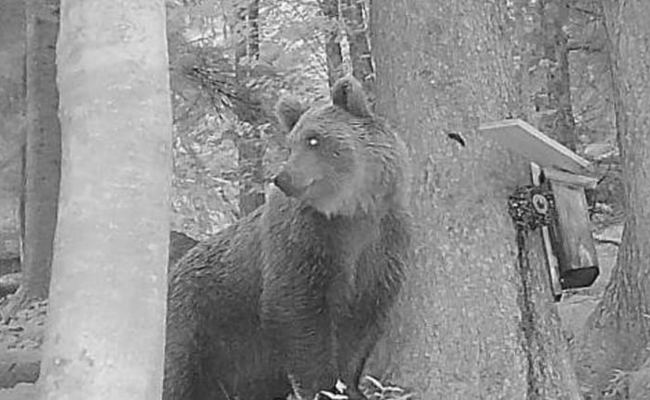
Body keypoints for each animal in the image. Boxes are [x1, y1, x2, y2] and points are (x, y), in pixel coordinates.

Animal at [163, 76, 412, 400]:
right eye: (291, 144)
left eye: (314, 139)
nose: (283, 177)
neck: (352, 212)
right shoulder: (305, 243)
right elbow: (298, 312)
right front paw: (323, 387)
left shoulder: (381, 247)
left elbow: (362, 325)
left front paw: (350, 386)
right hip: (200, 323)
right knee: (179, 375)